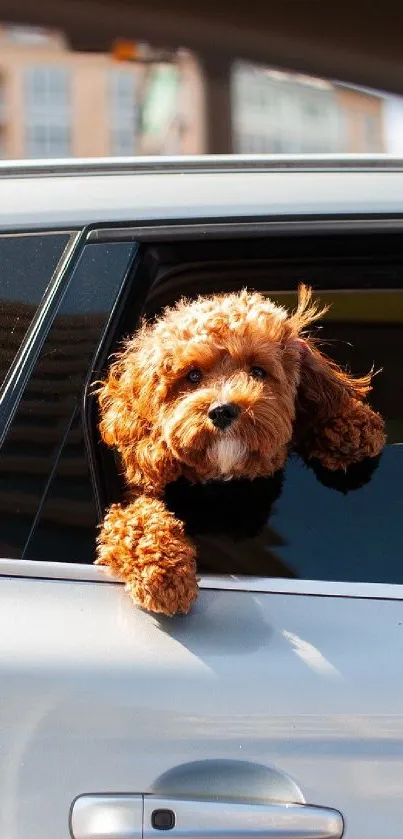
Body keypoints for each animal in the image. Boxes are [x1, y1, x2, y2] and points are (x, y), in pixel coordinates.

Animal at [94, 286, 386, 612]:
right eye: (193, 375)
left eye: (257, 371)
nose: (222, 411)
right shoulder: (134, 498)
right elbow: (136, 521)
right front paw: (165, 574)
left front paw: (351, 425)